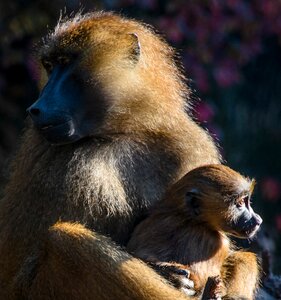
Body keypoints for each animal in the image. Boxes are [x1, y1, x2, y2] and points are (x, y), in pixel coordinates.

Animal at [0, 11, 221, 298]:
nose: (35, 109)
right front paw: (167, 273)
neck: (124, 130)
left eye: (64, 62)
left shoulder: (192, 146)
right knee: (65, 241)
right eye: (49, 65)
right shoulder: (71, 168)